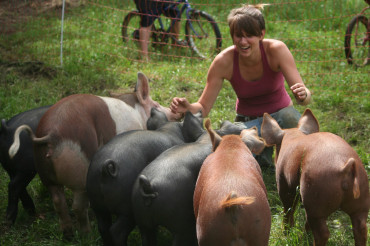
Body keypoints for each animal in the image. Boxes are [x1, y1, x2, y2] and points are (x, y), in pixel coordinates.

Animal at [85, 110, 204, 246]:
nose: (200, 112)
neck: (170, 129)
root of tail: (105, 171)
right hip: (126, 209)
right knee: (117, 231)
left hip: (97, 204)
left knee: (103, 227)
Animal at [262, 108, 368, 245]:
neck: (293, 136)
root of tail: (346, 167)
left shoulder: (284, 183)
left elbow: (288, 208)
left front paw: (286, 233)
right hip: (361, 199)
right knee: (361, 228)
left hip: (316, 197)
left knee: (322, 233)